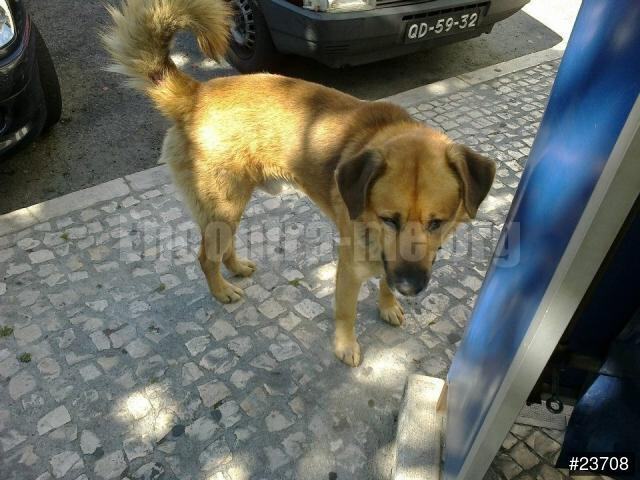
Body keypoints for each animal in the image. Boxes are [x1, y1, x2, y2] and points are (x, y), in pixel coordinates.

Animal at [103, 0, 495, 366]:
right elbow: (346, 313)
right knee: (205, 257)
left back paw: (237, 269)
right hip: (224, 205)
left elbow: (384, 281)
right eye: (388, 219)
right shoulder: (349, 269)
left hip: (230, 207)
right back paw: (221, 290)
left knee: (222, 247)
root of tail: (197, 94)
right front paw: (345, 347)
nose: (410, 288)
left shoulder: (391, 263)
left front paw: (387, 305)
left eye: (437, 223)